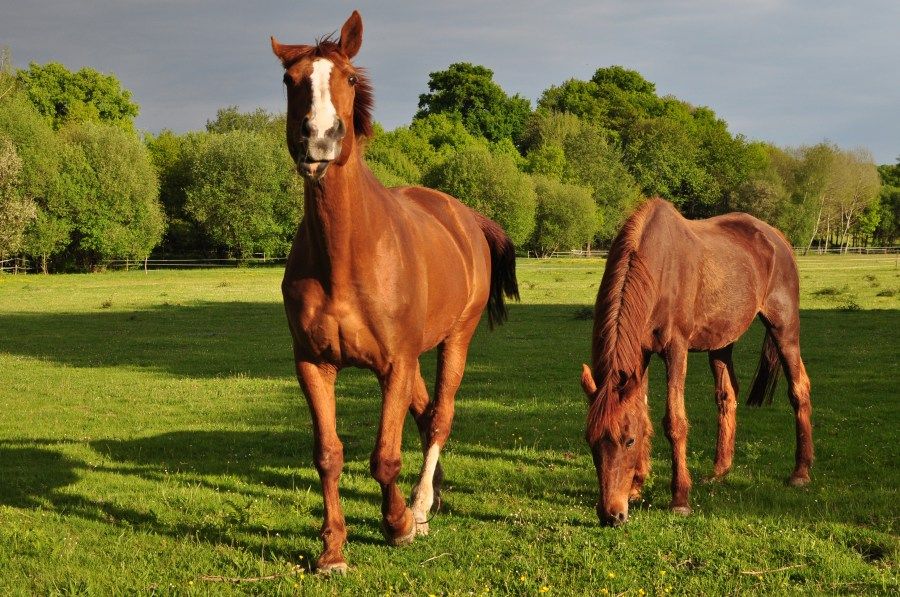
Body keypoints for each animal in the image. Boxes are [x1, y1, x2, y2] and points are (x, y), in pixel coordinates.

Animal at [270, 11, 516, 572]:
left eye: (348, 78)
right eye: (290, 81)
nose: (318, 139)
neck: (345, 256)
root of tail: (464, 217)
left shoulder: (393, 366)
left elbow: (384, 457)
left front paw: (399, 523)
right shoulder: (313, 364)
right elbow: (328, 455)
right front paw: (332, 549)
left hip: (453, 341)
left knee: (440, 418)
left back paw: (421, 506)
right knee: (424, 416)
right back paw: (431, 499)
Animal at [580, 198, 812, 524]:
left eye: (628, 441)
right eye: (591, 441)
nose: (611, 514)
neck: (657, 266)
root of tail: (777, 238)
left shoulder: (676, 349)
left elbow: (674, 421)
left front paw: (679, 498)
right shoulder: (640, 354)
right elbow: (643, 414)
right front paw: (637, 486)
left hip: (784, 327)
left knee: (799, 388)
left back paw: (800, 472)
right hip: (722, 342)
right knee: (727, 396)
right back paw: (719, 472)